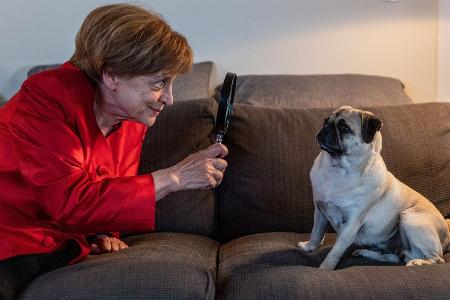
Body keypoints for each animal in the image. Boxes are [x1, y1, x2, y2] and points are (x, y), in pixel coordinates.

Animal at [298, 105, 448, 270]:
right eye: (326, 121)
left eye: (344, 128)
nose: (326, 127)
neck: (338, 169)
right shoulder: (320, 210)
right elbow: (316, 232)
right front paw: (309, 247)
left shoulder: (350, 225)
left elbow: (335, 252)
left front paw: (325, 268)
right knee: (398, 257)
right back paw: (366, 253)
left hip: (410, 218)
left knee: (438, 259)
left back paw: (418, 262)